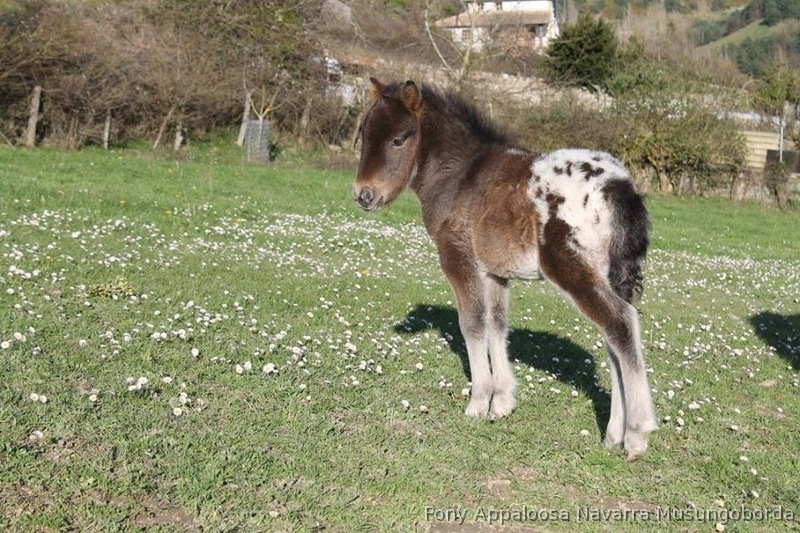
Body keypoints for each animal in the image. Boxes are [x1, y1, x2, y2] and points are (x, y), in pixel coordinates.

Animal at [352, 78, 658, 461]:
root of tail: (620, 186)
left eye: (398, 139)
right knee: (614, 340)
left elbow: (471, 324)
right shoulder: (494, 272)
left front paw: (477, 403)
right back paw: (613, 435)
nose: (364, 195)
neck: (460, 176)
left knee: (622, 323)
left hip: (572, 270)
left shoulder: (457, 257)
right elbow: (496, 326)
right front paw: (502, 403)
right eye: (364, 136)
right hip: (611, 277)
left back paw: (636, 436)